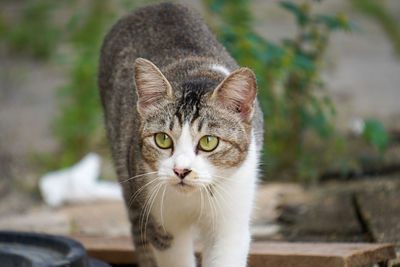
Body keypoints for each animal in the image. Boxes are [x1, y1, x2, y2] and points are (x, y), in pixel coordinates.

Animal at [98, 2, 264, 267]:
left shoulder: (230, 220)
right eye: (163, 139)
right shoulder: (162, 224)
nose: (181, 171)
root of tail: (157, 6)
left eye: (209, 142)